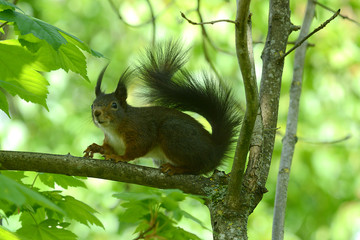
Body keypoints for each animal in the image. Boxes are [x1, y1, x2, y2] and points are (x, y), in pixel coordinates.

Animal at [83, 41, 242, 174]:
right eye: (92, 105)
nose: (96, 113)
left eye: (114, 105)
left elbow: (137, 149)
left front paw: (120, 158)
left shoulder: (141, 130)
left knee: (195, 167)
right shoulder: (113, 142)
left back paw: (176, 168)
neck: (113, 129)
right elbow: (108, 148)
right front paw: (96, 147)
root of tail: (215, 152)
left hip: (174, 133)